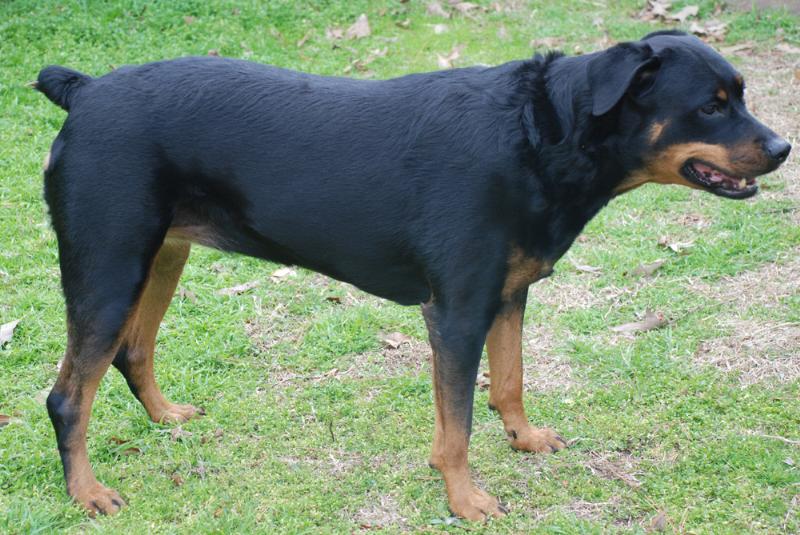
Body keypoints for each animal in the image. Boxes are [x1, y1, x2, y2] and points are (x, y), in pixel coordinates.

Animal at [35, 30, 789, 520]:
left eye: (740, 94)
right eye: (712, 103)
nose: (784, 146)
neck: (537, 135)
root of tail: (86, 92)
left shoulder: (507, 294)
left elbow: (507, 383)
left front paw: (523, 439)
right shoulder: (456, 311)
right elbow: (458, 423)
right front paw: (465, 498)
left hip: (161, 255)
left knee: (133, 351)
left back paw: (166, 417)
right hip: (108, 266)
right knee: (69, 395)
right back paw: (88, 493)